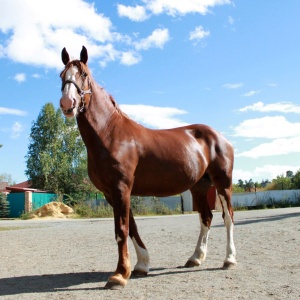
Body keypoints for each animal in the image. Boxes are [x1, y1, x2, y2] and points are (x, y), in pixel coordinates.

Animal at [59, 45, 237, 290]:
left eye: (84, 74)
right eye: (61, 75)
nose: (68, 103)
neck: (110, 133)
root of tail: (220, 137)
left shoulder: (121, 188)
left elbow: (121, 230)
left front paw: (119, 275)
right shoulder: (111, 193)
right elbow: (131, 227)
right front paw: (141, 265)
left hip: (223, 183)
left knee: (228, 217)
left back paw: (229, 259)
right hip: (199, 187)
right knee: (206, 218)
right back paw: (195, 258)